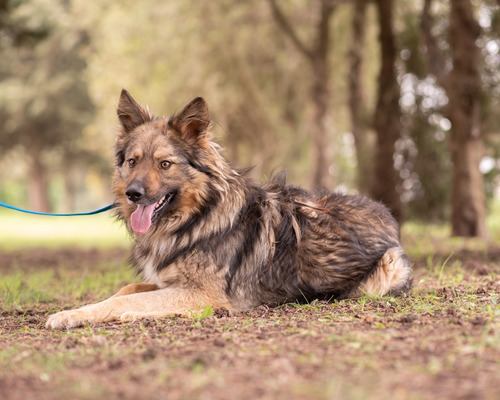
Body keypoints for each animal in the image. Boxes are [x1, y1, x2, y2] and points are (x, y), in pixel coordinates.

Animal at [45, 90, 412, 328]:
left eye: (165, 164)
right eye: (132, 162)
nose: (133, 194)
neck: (196, 218)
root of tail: (385, 213)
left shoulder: (203, 293)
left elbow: (125, 299)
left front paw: (70, 315)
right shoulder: (171, 282)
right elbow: (127, 290)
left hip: (389, 267)